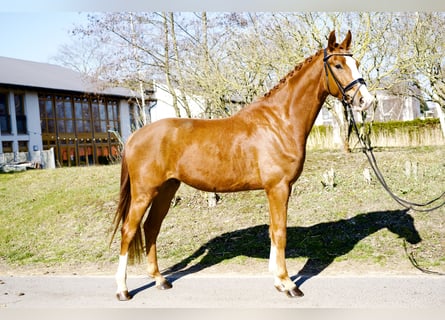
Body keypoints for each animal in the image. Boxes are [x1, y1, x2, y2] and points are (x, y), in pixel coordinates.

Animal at [110, 30, 372, 300]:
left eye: (356, 62)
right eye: (338, 65)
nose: (366, 100)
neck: (279, 122)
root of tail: (134, 136)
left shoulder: (275, 190)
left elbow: (273, 231)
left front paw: (278, 281)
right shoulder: (279, 188)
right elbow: (280, 232)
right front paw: (288, 283)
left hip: (166, 189)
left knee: (151, 228)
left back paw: (160, 280)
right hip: (144, 192)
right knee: (128, 230)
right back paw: (123, 290)